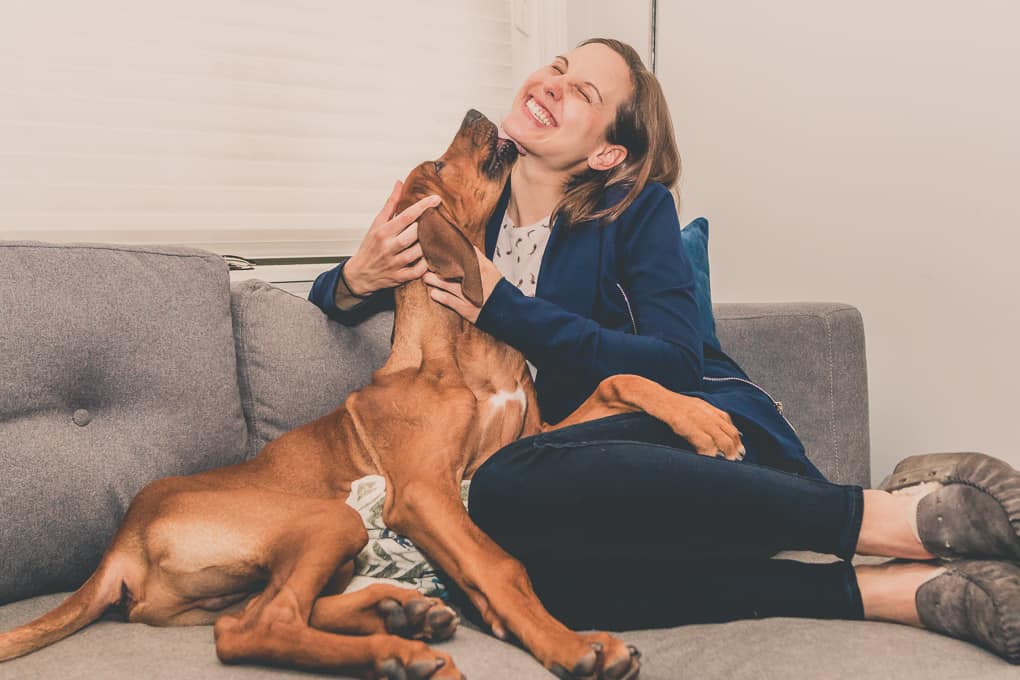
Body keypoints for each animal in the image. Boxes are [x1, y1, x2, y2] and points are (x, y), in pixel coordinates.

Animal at [0, 111, 738, 680]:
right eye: (437, 164)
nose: (478, 112)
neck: (464, 344)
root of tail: (120, 541)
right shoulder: (425, 492)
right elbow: (502, 564)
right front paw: (567, 643)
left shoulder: (519, 442)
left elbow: (622, 376)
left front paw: (708, 423)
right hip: (331, 519)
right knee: (257, 626)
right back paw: (399, 651)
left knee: (265, 611)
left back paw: (402, 613)